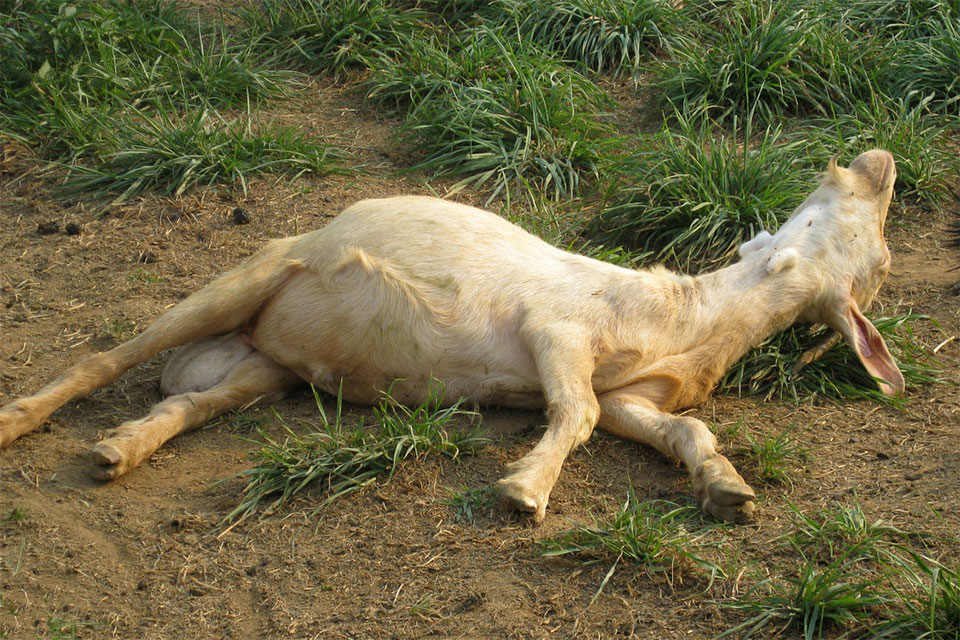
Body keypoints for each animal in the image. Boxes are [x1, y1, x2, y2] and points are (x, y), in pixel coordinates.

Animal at [0, 150, 903, 524]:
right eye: (876, 240)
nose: (878, 157)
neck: (678, 321)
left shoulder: (633, 397)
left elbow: (679, 428)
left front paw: (726, 487)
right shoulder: (556, 332)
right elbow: (573, 414)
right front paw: (525, 490)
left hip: (270, 366)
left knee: (192, 404)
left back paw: (119, 449)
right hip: (254, 272)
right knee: (109, 355)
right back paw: (22, 420)